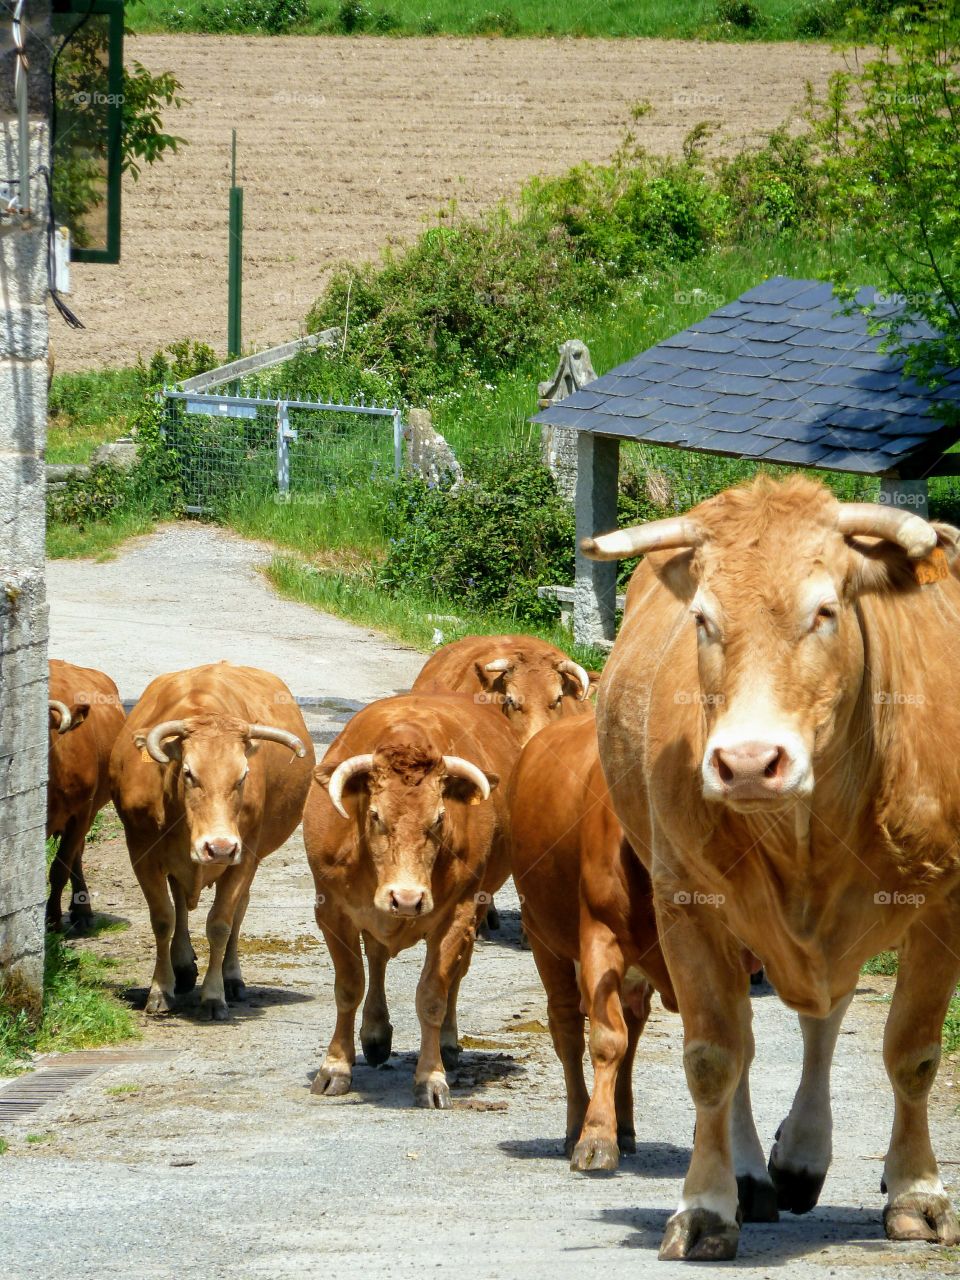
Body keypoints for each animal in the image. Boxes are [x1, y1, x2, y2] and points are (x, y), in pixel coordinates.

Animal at [110, 670, 312, 1018]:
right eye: (189, 773)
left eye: (243, 776)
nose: (218, 847)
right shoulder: (141, 852)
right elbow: (163, 918)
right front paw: (160, 990)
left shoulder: (243, 857)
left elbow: (220, 924)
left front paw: (214, 995)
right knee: (180, 904)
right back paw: (182, 967)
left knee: (238, 911)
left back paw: (231, 979)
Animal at [305, 696, 519, 1105]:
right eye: (375, 815)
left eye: (438, 819)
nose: (406, 899)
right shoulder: (332, 911)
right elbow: (349, 986)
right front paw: (335, 1067)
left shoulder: (459, 914)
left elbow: (433, 995)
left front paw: (431, 1077)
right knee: (376, 958)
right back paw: (375, 1035)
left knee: (454, 977)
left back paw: (447, 1045)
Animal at [514, 716, 680, 1172]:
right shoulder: (598, 939)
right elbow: (606, 1040)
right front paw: (596, 1137)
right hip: (545, 940)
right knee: (568, 1028)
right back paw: (578, 1124)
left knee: (633, 1030)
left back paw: (625, 1125)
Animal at [591, 473, 960, 1259]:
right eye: (702, 618)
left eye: (825, 611)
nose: (749, 761)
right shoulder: (686, 902)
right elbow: (714, 1056)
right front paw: (707, 1206)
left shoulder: (946, 903)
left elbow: (913, 1052)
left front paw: (918, 1192)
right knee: (753, 1037)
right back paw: (758, 1173)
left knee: (826, 1016)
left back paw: (805, 1155)